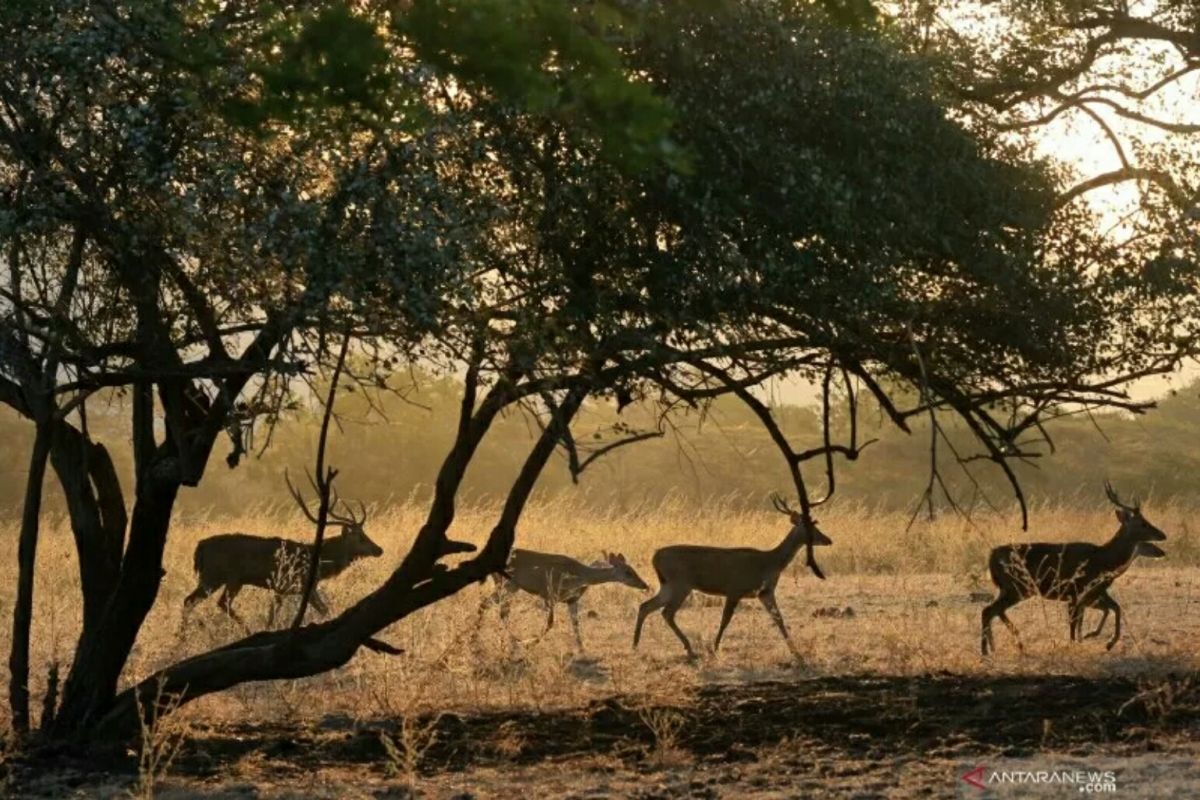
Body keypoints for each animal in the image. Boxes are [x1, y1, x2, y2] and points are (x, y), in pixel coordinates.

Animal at [489, 551, 652, 652]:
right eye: (628, 572)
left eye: (633, 570)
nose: (645, 584)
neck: (581, 576)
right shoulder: (549, 594)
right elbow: (550, 623)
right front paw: (530, 642)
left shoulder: (572, 600)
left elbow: (575, 624)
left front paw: (582, 648)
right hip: (509, 584)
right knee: (500, 611)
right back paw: (515, 641)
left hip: (506, 585)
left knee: (493, 606)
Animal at [633, 496, 830, 662]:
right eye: (811, 526)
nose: (828, 539)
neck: (770, 563)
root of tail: (655, 557)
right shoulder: (735, 588)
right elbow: (725, 620)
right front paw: (714, 648)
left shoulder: (765, 592)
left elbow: (779, 619)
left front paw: (797, 653)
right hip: (680, 583)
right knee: (666, 612)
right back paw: (689, 648)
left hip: (668, 585)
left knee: (646, 606)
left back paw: (636, 645)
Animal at [979, 482, 1166, 657]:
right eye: (1143, 523)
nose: (1163, 535)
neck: (1104, 560)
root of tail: (991, 556)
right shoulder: (1076, 590)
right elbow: (1075, 622)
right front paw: (1078, 643)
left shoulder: (1087, 593)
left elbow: (1112, 609)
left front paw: (1105, 643)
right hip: (1017, 586)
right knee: (989, 610)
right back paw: (989, 649)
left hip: (1010, 588)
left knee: (991, 610)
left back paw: (999, 647)